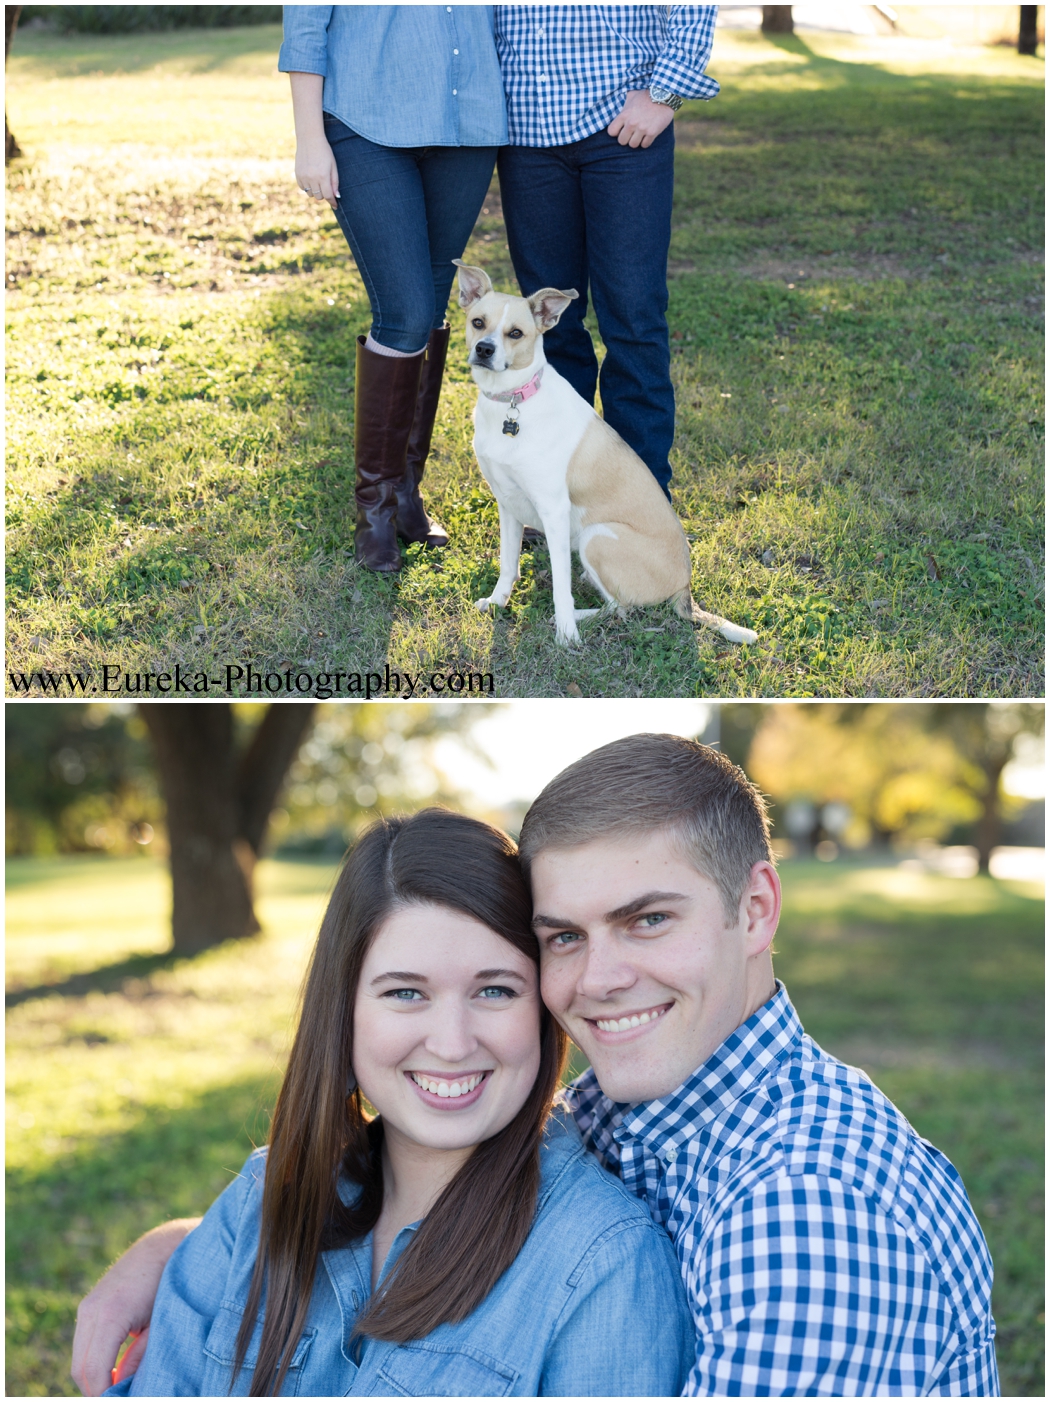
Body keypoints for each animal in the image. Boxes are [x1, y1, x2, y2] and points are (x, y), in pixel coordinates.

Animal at [451, 260, 751, 647]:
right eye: (478, 322)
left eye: (515, 333)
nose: (485, 350)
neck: (513, 400)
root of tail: (686, 590)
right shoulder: (507, 502)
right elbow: (507, 563)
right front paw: (498, 601)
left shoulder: (554, 509)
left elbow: (560, 586)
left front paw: (567, 636)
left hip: (597, 538)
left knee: (620, 609)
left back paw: (576, 618)